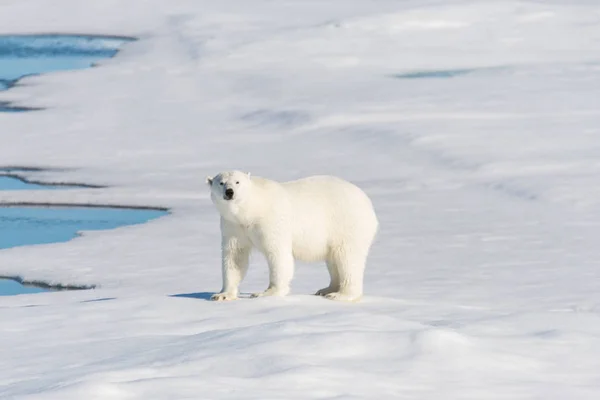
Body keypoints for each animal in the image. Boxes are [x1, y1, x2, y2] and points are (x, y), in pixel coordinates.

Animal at [204, 170, 378, 304]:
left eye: (237, 182)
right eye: (221, 182)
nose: (229, 192)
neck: (250, 211)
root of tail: (369, 205)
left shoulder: (271, 221)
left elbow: (278, 254)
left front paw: (266, 293)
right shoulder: (233, 226)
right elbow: (235, 256)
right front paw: (222, 295)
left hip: (347, 223)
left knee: (348, 257)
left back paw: (340, 295)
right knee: (333, 259)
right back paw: (326, 289)